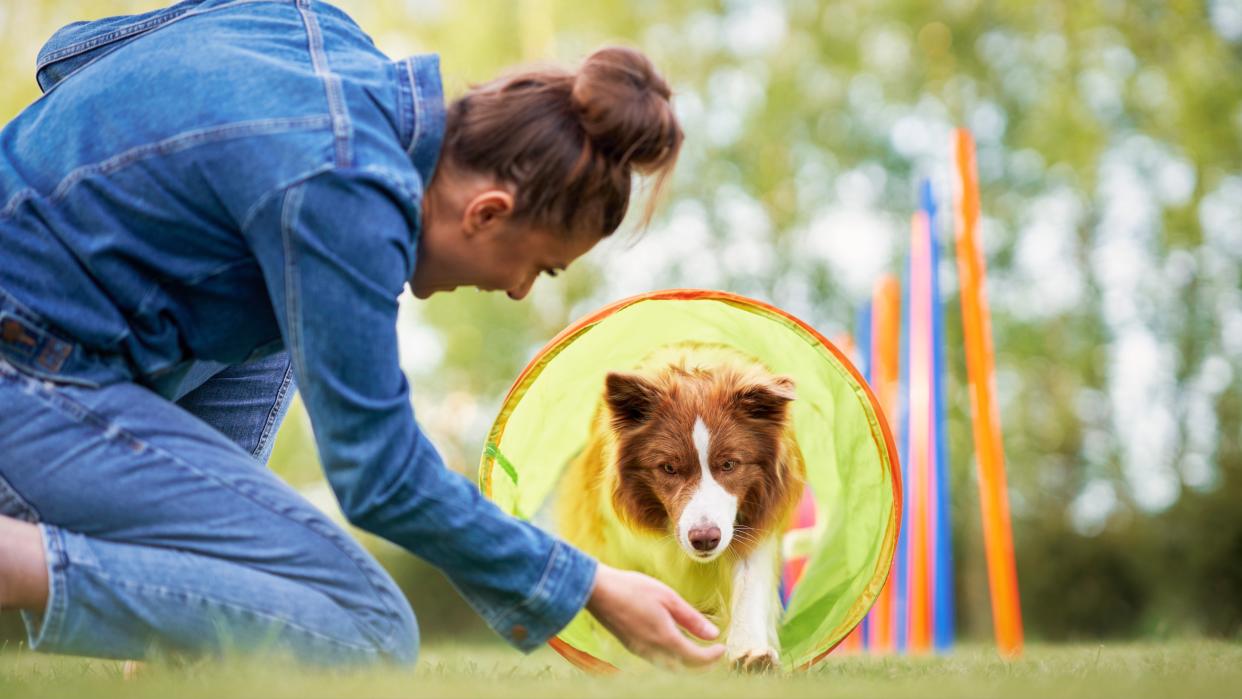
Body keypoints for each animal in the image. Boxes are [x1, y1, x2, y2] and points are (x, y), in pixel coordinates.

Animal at [556, 342, 804, 670]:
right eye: (669, 468)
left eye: (729, 464)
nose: (705, 539)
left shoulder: (753, 520)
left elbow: (749, 582)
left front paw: (750, 653)